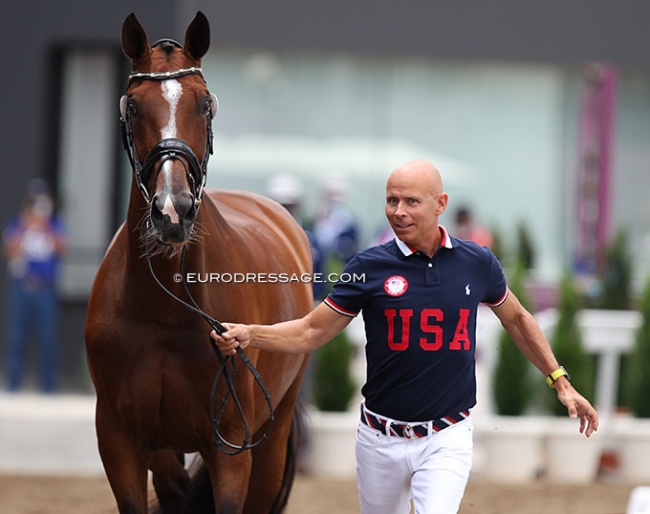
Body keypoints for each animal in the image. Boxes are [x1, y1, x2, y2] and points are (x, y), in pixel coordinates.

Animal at [85, 12, 312, 512]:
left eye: (205, 105)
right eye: (133, 107)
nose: (174, 211)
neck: (165, 309)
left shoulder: (230, 445)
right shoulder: (120, 442)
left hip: (271, 439)